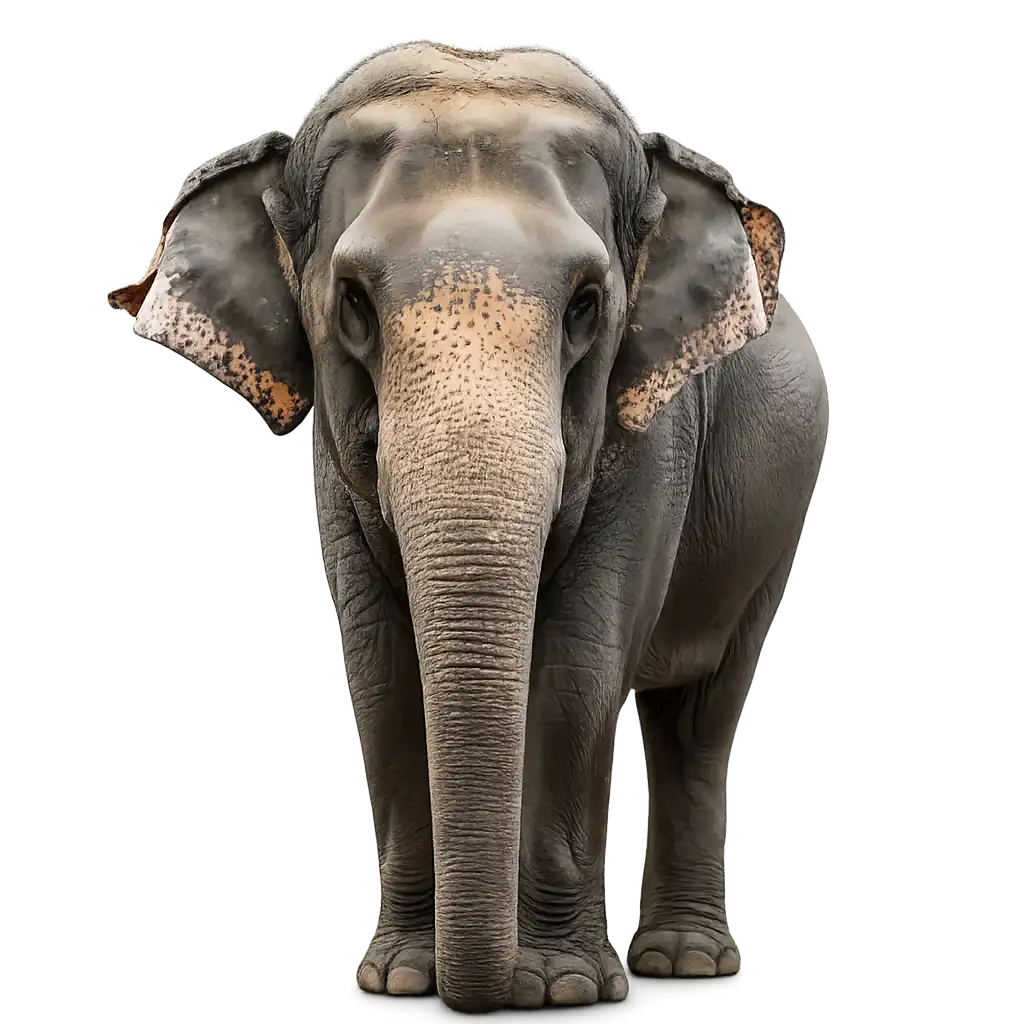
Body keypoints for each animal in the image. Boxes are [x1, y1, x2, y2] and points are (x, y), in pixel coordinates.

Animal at [108, 40, 828, 1014]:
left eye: (587, 305)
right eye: (353, 303)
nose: (479, 990)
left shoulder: (655, 435)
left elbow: (576, 670)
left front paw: (560, 987)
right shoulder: (338, 463)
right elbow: (382, 668)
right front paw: (404, 975)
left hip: (777, 514)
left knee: (699, 717)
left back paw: (683, 963)